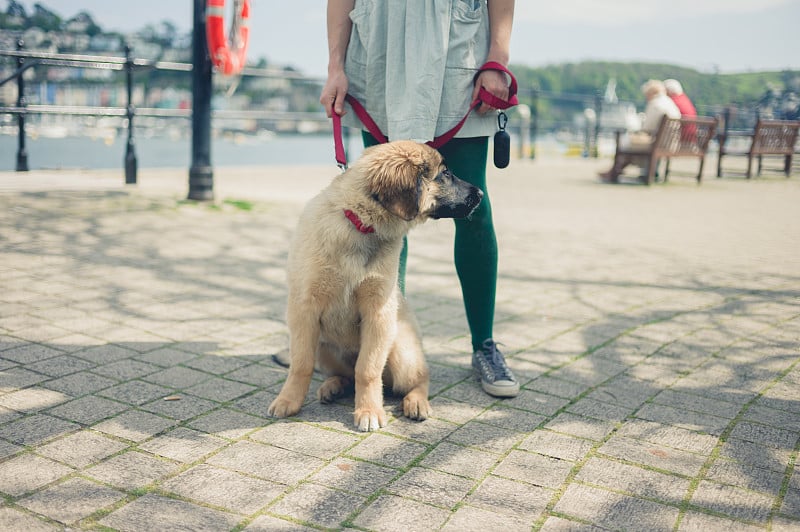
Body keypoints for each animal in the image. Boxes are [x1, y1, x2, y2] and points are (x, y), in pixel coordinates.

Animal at [268, 141, 482, 432]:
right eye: (445, 174)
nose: (480, 194)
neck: (361, 226)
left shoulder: (378, 312)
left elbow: (367, 370)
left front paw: (369, 411)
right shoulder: (303, 309)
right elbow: (301, 364)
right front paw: (288, 400)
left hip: (401, 351)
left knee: (419, 378)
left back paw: (416, 402)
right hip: (324, 346)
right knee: (345, 374)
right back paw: (332, 386)